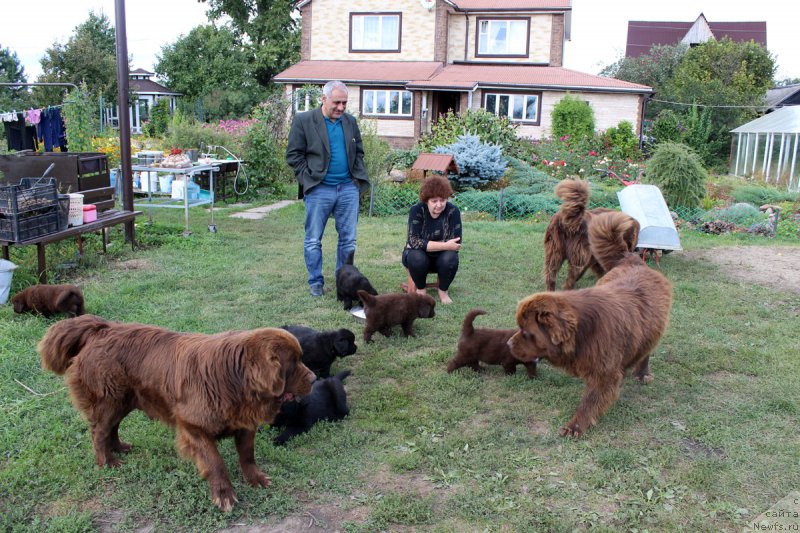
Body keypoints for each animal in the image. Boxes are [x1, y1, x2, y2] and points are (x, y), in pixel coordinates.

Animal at [39, 314, 316, 510]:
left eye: (301, 359)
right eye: (293, 364)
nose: (314, 379)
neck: (232, 378)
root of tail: (101, 328)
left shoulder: (245, 423)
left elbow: (247, 455)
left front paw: (255, 478)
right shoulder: (193, 427)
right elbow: (215, 462)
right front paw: (224, 494)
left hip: (123, 401)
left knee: (112, 428)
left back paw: (119, 447)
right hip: (109, 400)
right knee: (99, 431)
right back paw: (107, 461)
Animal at [510, 210, 672, 438]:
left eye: (526, 332)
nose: (508, 344)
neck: (584, 333)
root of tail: (633, 260)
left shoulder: (605, 373)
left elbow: (590, 400)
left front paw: (575, 426)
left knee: (645, 352)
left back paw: (642, 374)